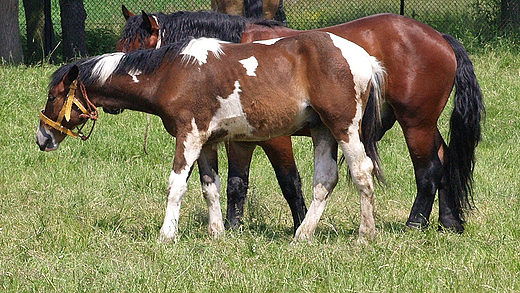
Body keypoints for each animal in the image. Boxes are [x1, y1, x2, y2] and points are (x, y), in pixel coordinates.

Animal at [35, 31, 386, 242]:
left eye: (53, 96)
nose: (42, 138)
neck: (171, 73)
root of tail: (364, 58)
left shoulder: (188, 137)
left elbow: (176, 186)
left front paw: (166, 234)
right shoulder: (207, 143)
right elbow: (210, 188)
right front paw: (216, 233)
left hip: (343, 128)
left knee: (362, 173)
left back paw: (365, 234)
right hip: (321, 130)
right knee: (324, 180)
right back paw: (302, 234)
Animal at [116, 10, 486, 233]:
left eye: (136, 52)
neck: (230, 54)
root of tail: (439, 37)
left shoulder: (274, 139)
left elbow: (289, 183)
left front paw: (300, 224)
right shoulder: (240, 138)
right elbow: (236, 183)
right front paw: (233, 228)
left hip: (415, 124)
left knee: (429, 170)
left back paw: (415, 222)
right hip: (425, 125)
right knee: (445, 159)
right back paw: (449, 221)